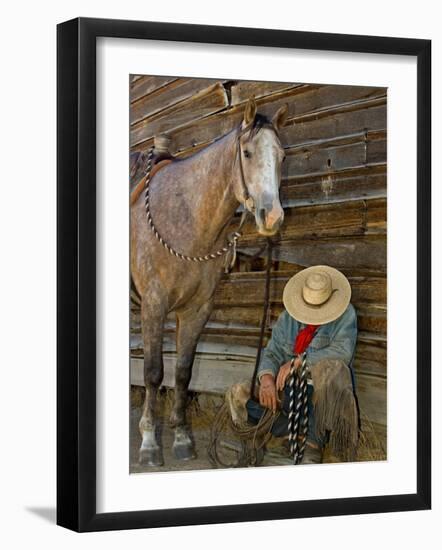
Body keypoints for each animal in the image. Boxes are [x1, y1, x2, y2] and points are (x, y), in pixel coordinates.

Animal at [130, 99, 286, 466]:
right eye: (247, 153)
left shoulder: (197, 310)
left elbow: (183, 372)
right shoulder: (153, 306)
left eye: (283, 155)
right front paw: (149, 442)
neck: (185, 217)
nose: (273, 218)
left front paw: (182, 437)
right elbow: (153, 372)